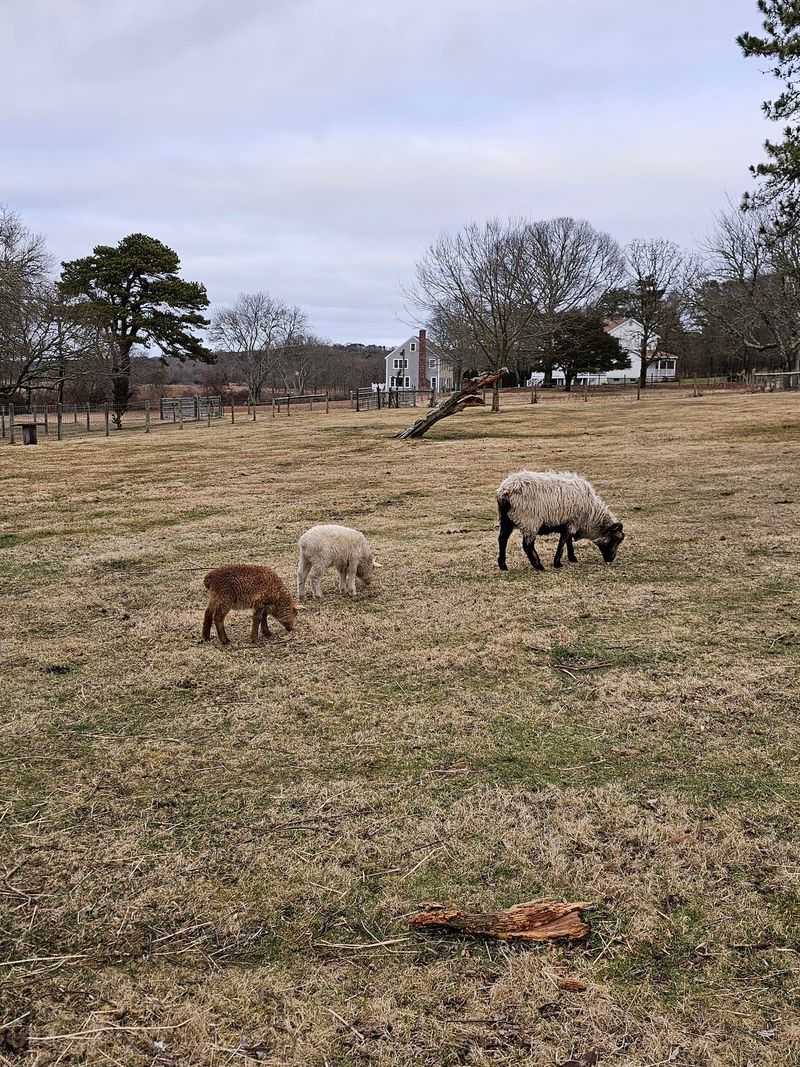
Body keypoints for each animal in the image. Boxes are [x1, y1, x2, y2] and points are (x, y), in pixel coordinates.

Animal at [496, 470, 624, 571]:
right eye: (615, 539)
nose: (611, 559)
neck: (590, 515)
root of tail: (505, 491)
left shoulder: (568, 523)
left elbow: (568, 541)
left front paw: (572, 558)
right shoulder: (571, 523)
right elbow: (563, 542)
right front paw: (557, 563)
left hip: (506, 519)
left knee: (502, 539)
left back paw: (503, 565)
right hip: (530, 521)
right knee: (527, 545)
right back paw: (538, 565)